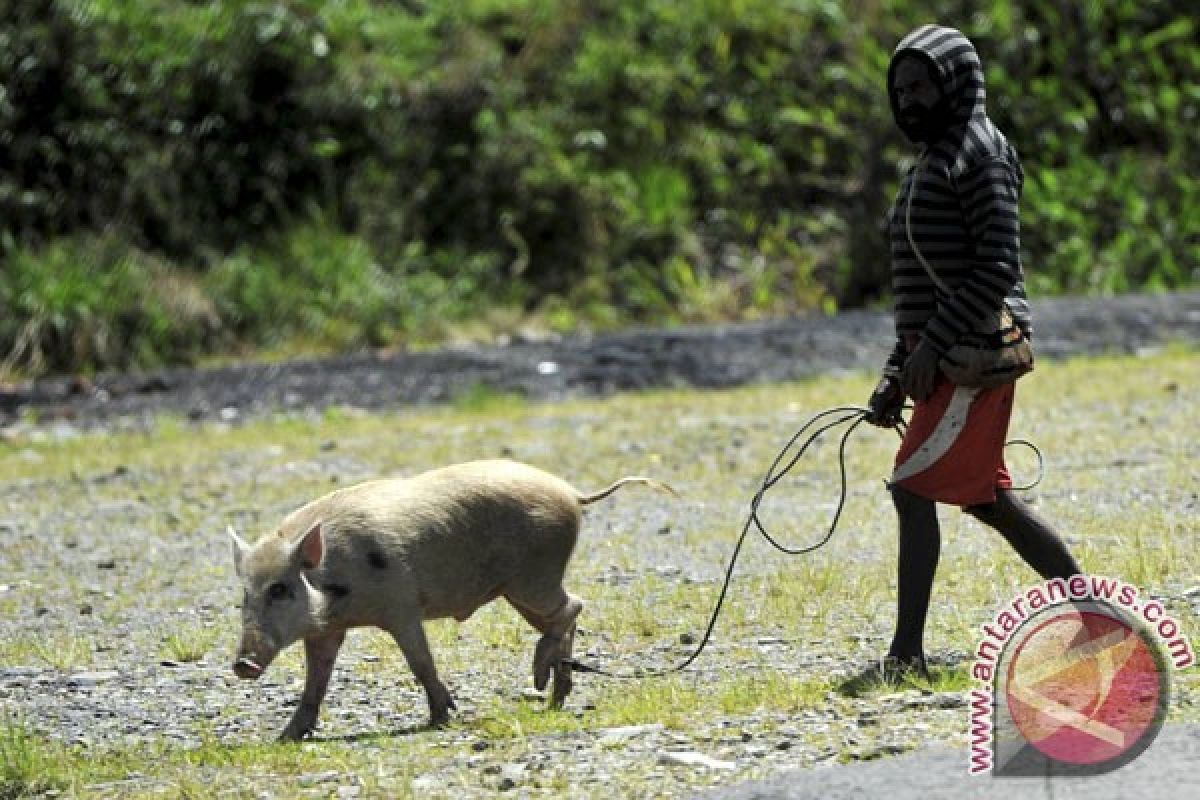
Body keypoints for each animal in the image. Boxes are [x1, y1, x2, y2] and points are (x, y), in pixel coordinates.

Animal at [226, 460, 676, 743]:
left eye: (281, 589)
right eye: (246, 594)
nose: (243, 663)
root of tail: (571, 493)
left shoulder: (401, 607)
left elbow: (420, 662)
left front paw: (442, 717)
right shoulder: (326, 630)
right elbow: (315, 682)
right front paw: (285, 737)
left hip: (534, 577)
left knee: (575, 605)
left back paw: (540, 678)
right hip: (522, 590)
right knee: (564, 617)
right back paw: (554, 696)